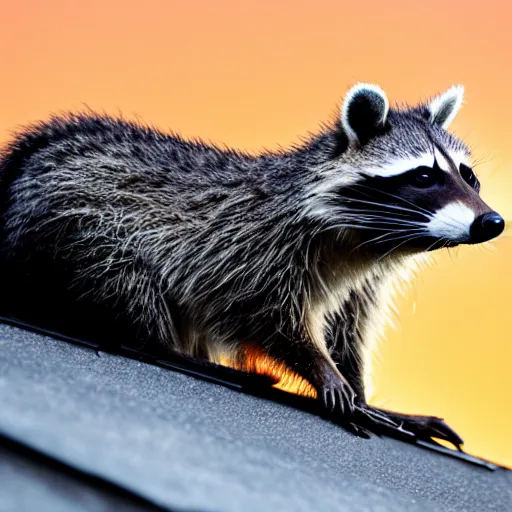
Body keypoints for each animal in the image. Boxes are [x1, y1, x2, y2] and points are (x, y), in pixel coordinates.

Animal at [0, 83, 504, 444]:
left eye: (468, 175)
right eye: (423, 176)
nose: (492, 222)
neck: (364, 241)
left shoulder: (364, 280)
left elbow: (347, 328)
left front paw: (362, 391)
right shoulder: (254, 246)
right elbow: (264, 312)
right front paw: (321, 369)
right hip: (76, 221)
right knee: (125, 280)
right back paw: (167, 346)